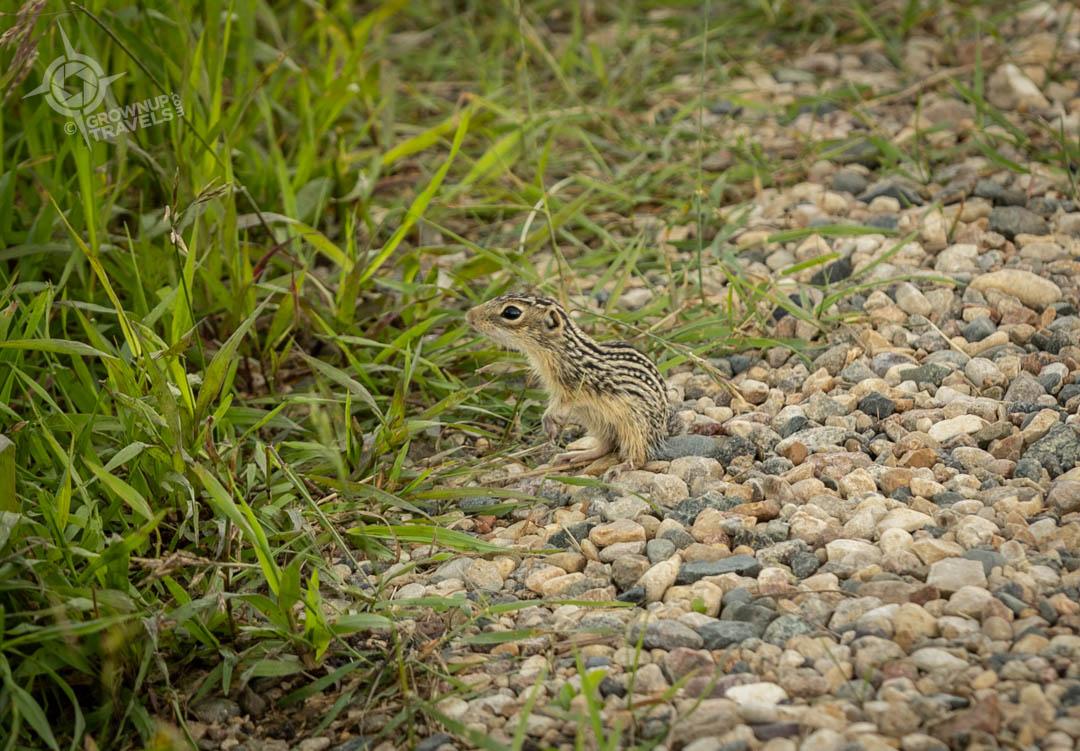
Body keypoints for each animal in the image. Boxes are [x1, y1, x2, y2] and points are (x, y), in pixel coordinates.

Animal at [466, 294, 671, 469]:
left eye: (511, 312)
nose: (469, 315)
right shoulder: (557, 390)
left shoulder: (575, 390)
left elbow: (561, 406)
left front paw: (549, 422)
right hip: (600, 423)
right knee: (606, 445)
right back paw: (574, 455)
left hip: (635, 427)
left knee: (639, 455)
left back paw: (623, 466)